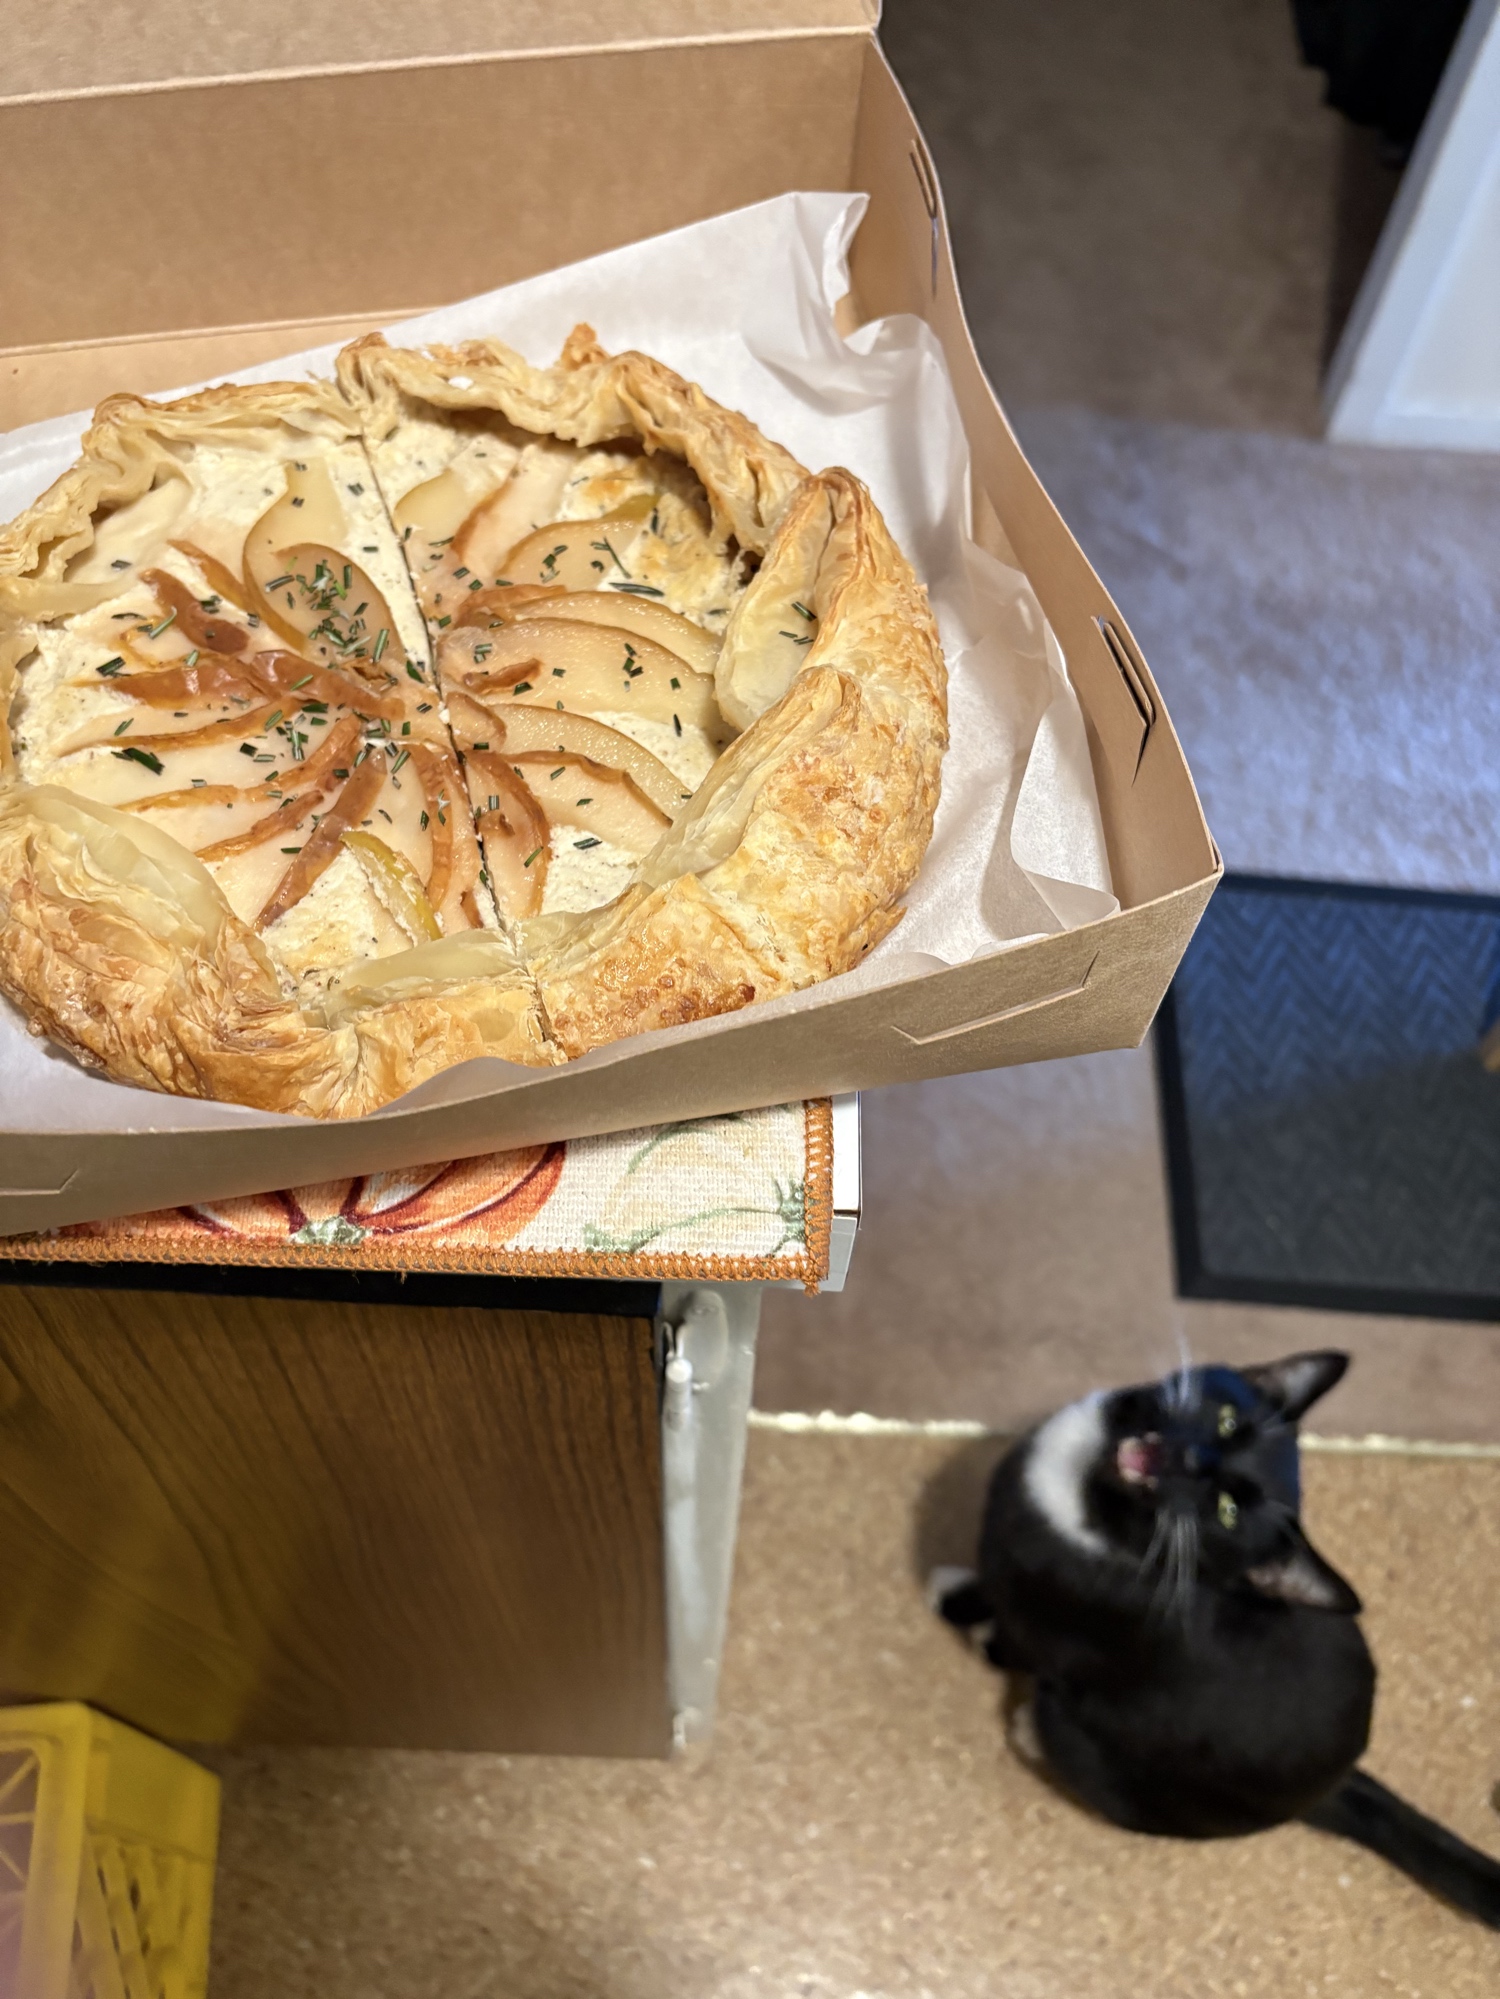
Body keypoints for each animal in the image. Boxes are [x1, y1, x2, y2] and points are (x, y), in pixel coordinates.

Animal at [934, 1350, 1500, 1927]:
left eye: (1227, 1511)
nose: (1195, 1458)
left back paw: (1028, 1729)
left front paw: (958, 1606)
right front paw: (962, 1585)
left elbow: (1010, 1634)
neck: (1092, 1504)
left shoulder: (1054, 1631)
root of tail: (1336, 1786)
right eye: (1228, 1420)